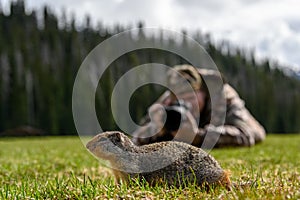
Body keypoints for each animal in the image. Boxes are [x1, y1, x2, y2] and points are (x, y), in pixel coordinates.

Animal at [85, 131, 231, 189]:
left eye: (101, 139)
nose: (86, 145)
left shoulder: (130, 167)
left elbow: (133, 180)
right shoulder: (116, 172)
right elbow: (118, 182)